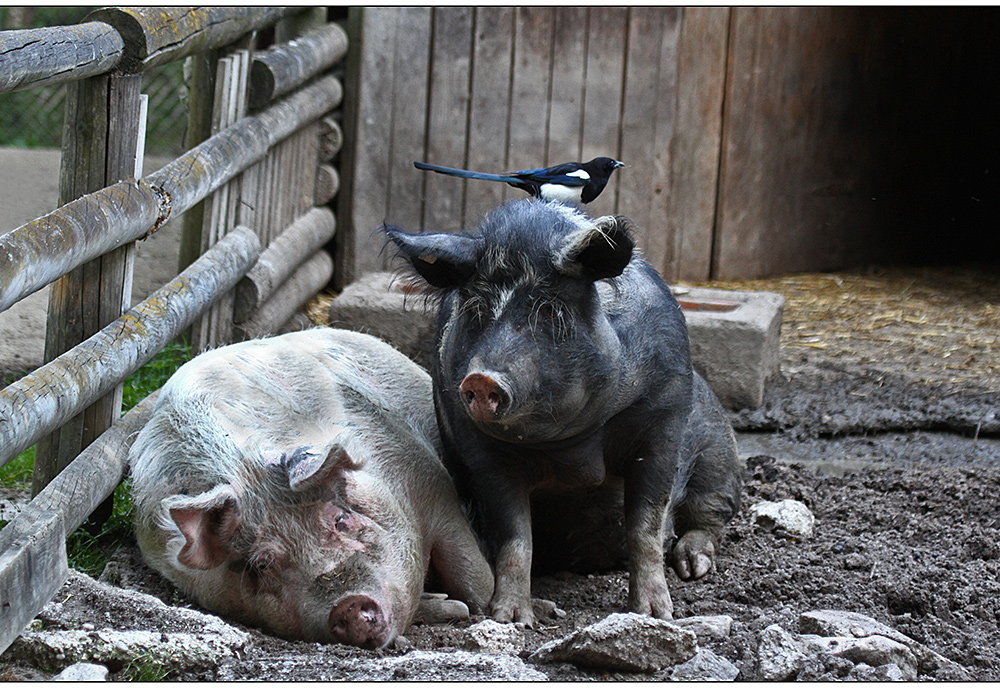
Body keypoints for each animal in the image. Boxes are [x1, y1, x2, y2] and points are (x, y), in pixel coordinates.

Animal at [129, 330, 496, 648]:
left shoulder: (427, 478)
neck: (246, 473)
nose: (349, 605)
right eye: (261, 565)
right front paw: (443, 604)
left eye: (340, 519)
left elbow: (476, 582)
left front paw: (468, 605)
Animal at [382, 200, 744, 628]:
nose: (482, 378)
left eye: (551, 311)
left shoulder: (663, 424)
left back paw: (694, 568)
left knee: (710, 515)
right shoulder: (482, 455)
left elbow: (646, 527)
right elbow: (515, 538)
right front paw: (511, 619)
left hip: (719, 454)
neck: (571, 447)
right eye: (476, 309)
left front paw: (656, 614)